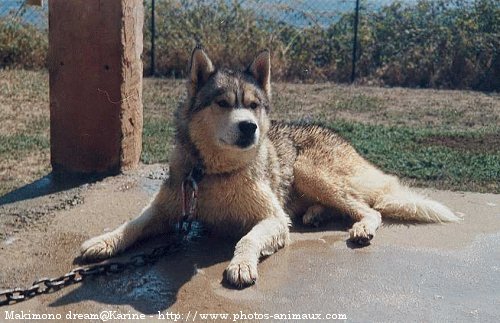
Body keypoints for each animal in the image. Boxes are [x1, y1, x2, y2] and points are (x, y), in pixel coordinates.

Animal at [81, 47, 460, 286]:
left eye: (253, 105)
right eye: (222, 103)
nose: (249, 127)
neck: (215, 174)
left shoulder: (273, 219)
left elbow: (248, 237)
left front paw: (240, 264)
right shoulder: (167, 208)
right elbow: (132, 224)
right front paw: (103, 242)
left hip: (309, 169)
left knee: (370, 209)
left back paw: (359, 226)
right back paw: (316, 214)